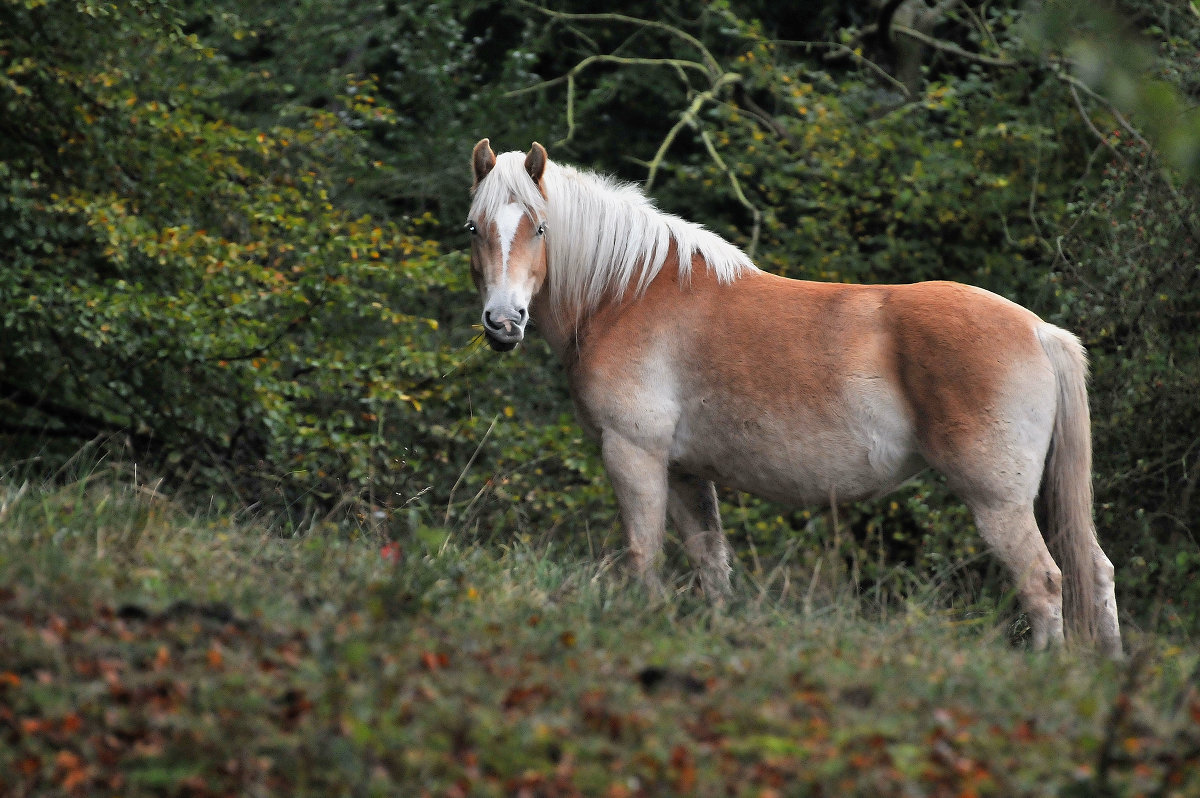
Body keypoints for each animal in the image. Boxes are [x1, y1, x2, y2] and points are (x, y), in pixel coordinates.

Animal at [465, 136, 1123, 657]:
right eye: (475, 229)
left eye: (539, 227)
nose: (503, 322)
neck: (626, 295)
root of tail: (1038, 329)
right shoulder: (684, 472)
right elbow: (711, 565)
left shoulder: (634, 455)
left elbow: (644, 558)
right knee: (1095, 573)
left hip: (998, 502)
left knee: (1044, 583)